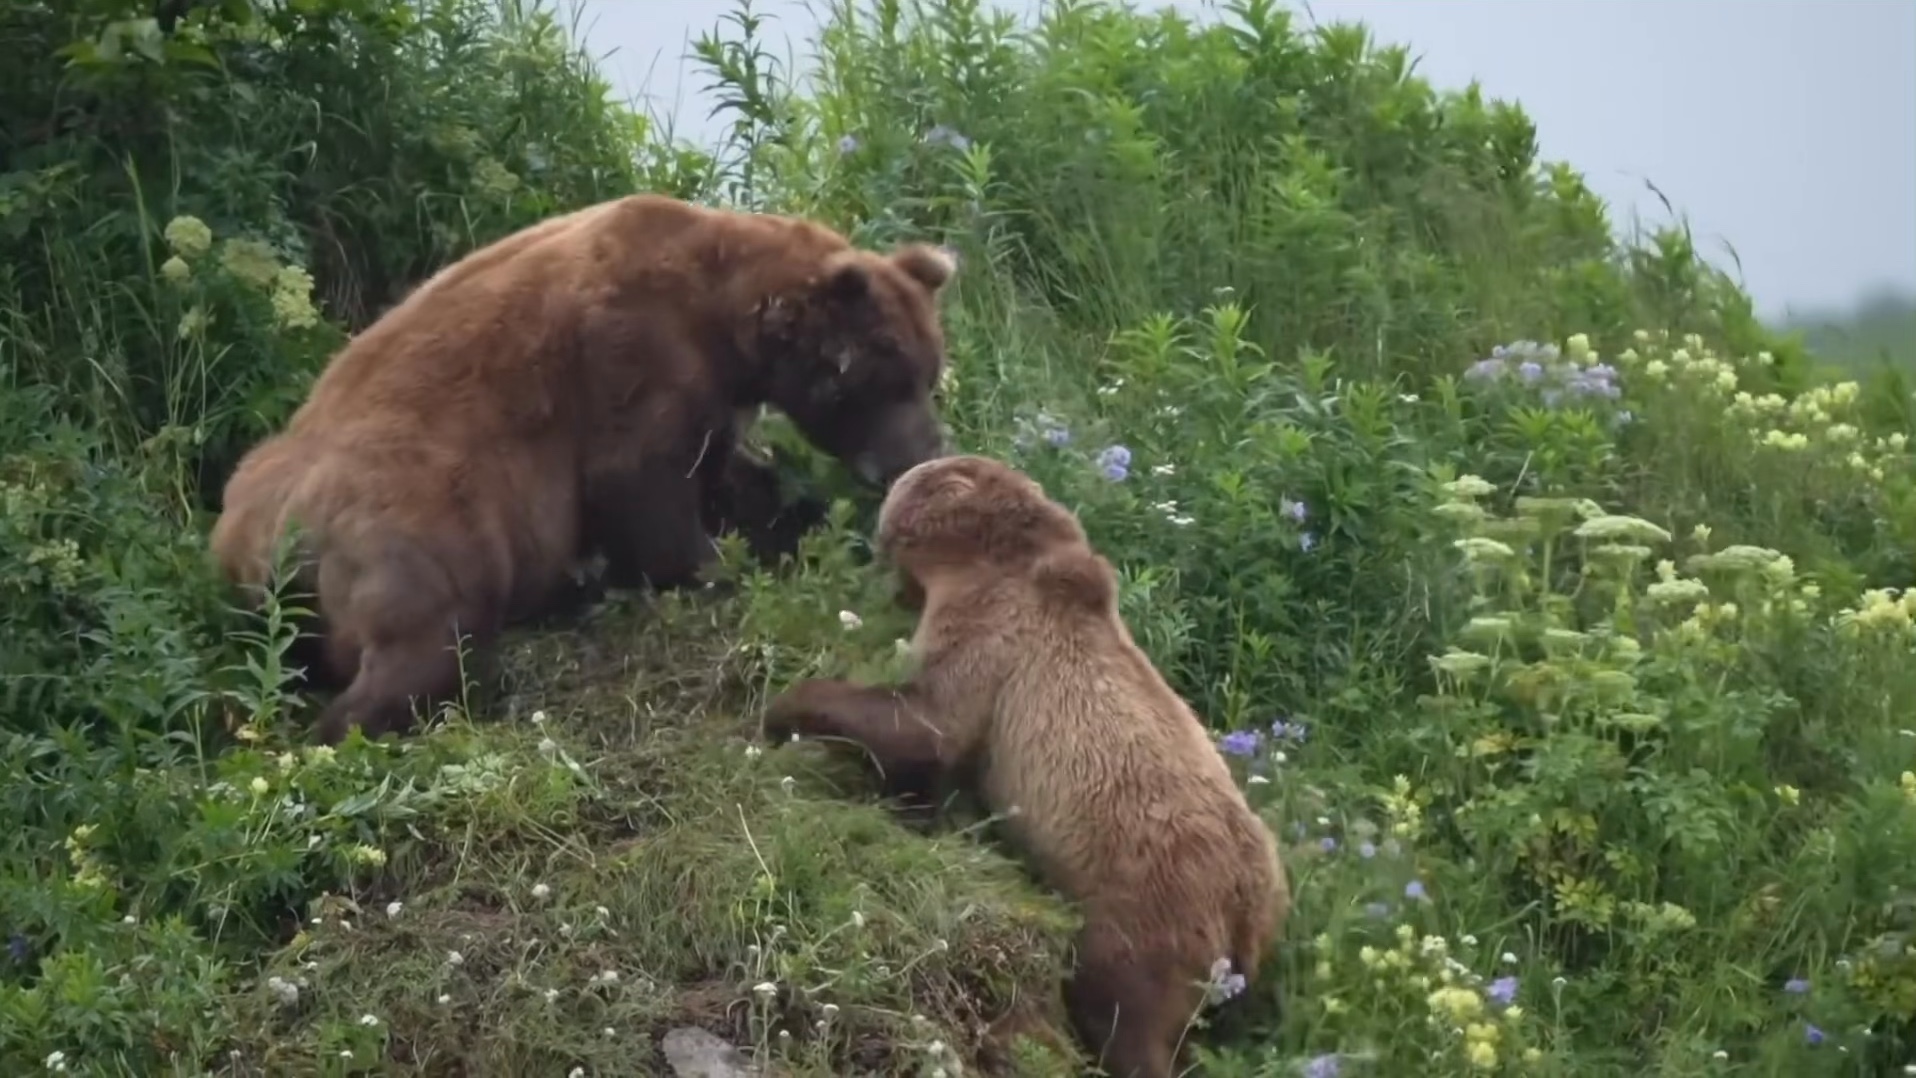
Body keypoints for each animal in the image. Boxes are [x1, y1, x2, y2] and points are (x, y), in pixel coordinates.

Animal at [213, 194, 958, 746]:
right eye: (888, 373)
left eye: (929, 368)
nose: (920, 451)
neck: (727, 318)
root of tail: (259, 537)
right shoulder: (632, 355)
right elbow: (642, 486)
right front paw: (719, 562)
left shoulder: (713, 397)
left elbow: (730, 475)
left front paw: (793, 524)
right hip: (411, 518)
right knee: (431, 634)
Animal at [758, 453, 1287, 1078]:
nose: (878, 560)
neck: (983, 557)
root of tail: (1247, 904)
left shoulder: (994, 632)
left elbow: (926, 722)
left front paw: (784, 709)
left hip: (1144, 906)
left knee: (1125, 1012)